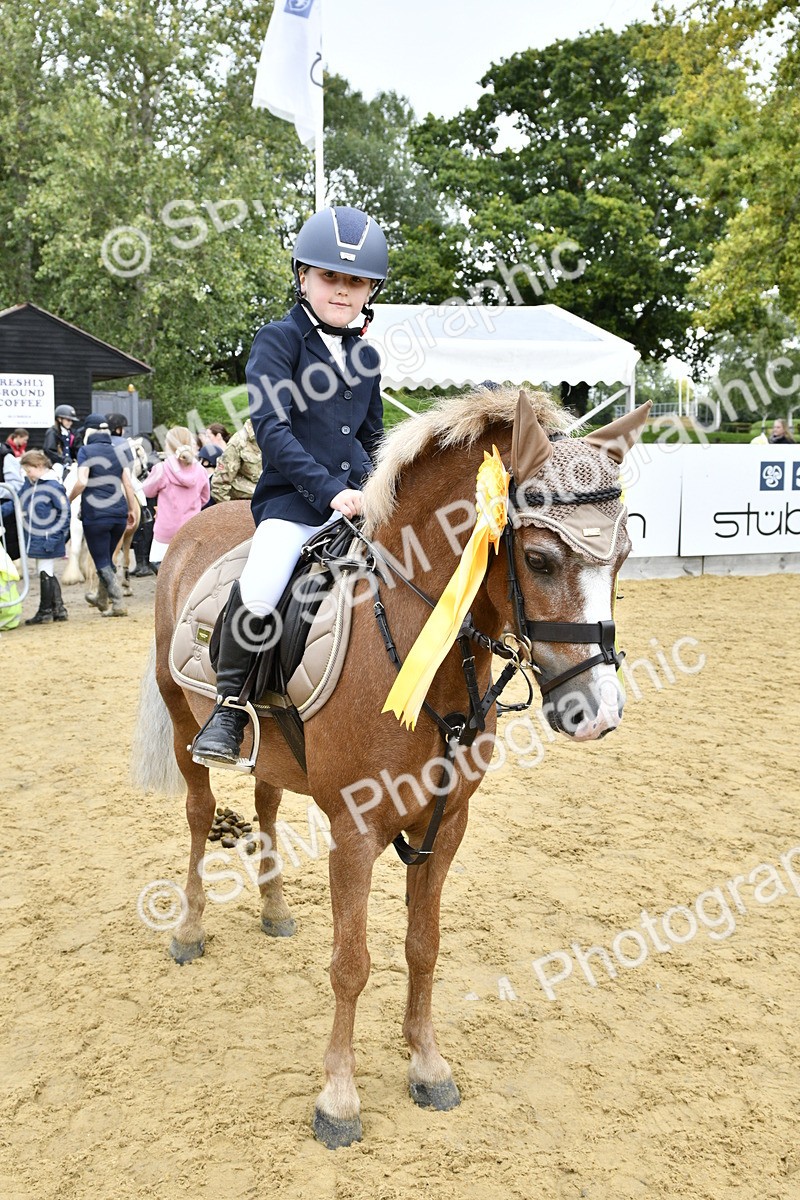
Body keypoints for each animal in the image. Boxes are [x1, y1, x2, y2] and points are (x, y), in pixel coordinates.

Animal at [133, 386, 650, 1149]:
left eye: (622, 556)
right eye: (539, 559)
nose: (599, 711)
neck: (415, 637)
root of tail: (205, 522)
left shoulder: (446, 824)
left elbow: (423, 946)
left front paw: (427, 1065)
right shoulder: (354, 832)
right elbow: (351, 964)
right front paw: (339, 1099)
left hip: (273, 751)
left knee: (264, 807)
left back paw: (275, 910)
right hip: (182, 727)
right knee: (201, 817)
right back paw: (190, 930)